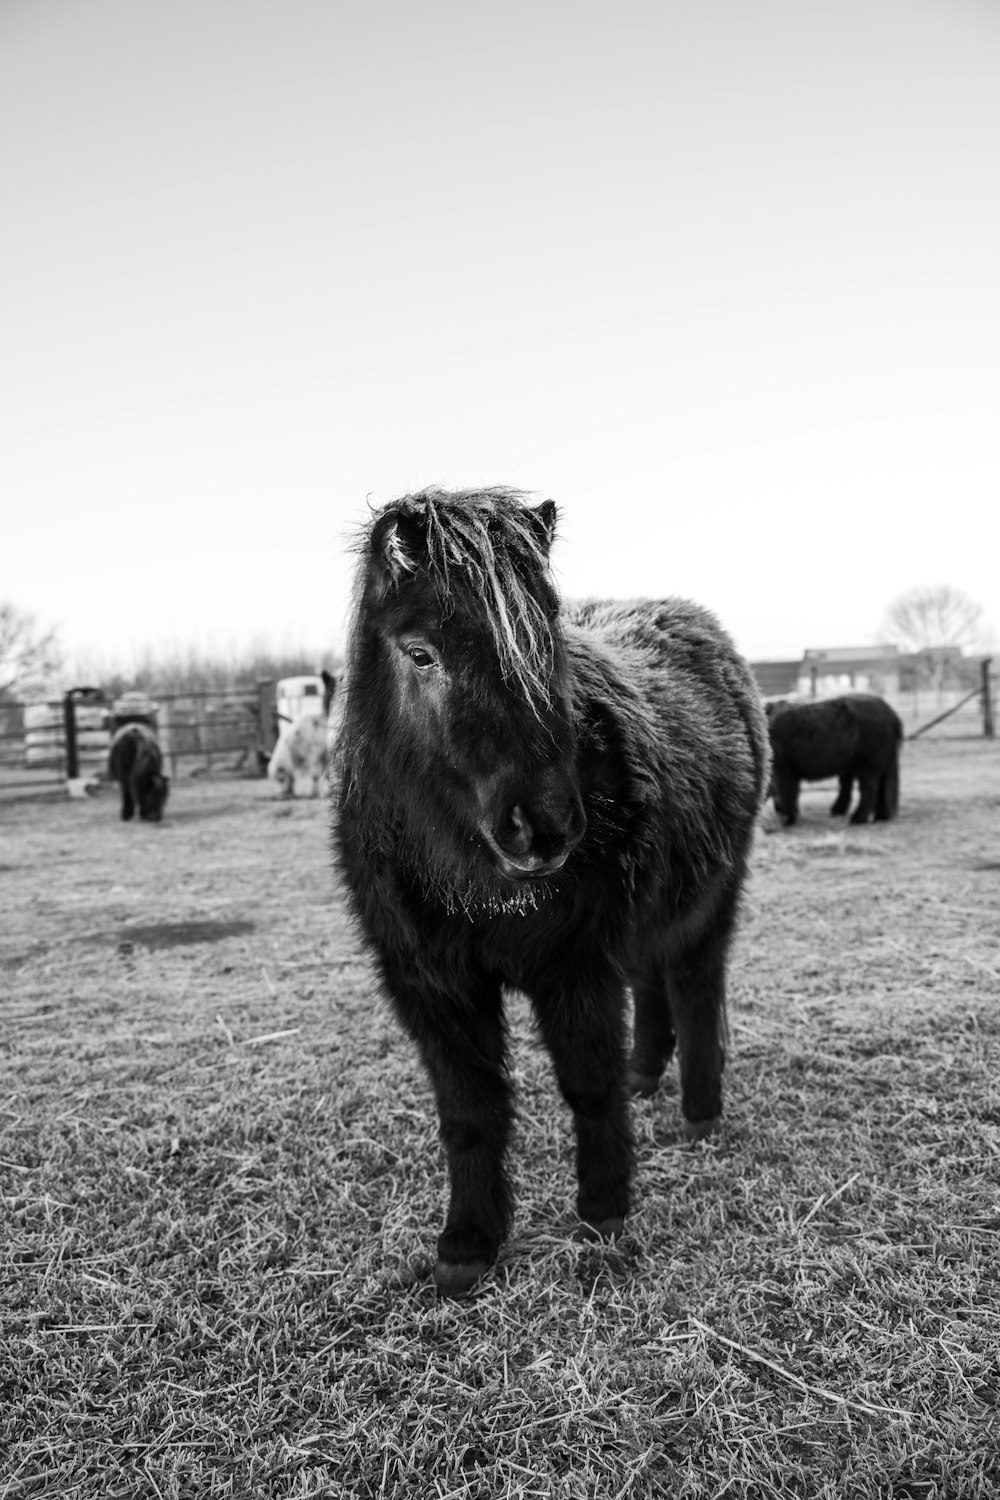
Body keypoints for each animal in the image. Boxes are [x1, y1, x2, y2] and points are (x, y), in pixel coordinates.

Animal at [332, 489, 773, 1290]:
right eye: (421, 653)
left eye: (548, 644)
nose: (543, 828)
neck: (471, 880)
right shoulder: (433, 988)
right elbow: (470, 1112)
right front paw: (467, 1246)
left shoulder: (575, 967)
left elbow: (587, 1084)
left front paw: (603, 1210)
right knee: (655, 982)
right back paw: (646, 1076)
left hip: (712, 897)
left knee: (695, 984)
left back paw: (699, 1111)